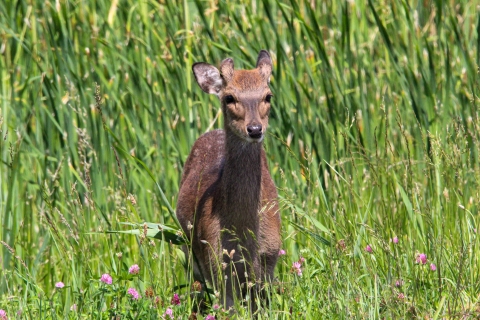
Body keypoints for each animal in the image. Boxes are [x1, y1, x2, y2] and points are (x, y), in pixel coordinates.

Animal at [176, 50, 282, 312]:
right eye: (229, 97)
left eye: (268, 95)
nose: (254, 129)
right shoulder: (216, 261)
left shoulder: (269, 259)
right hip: (189, 249)